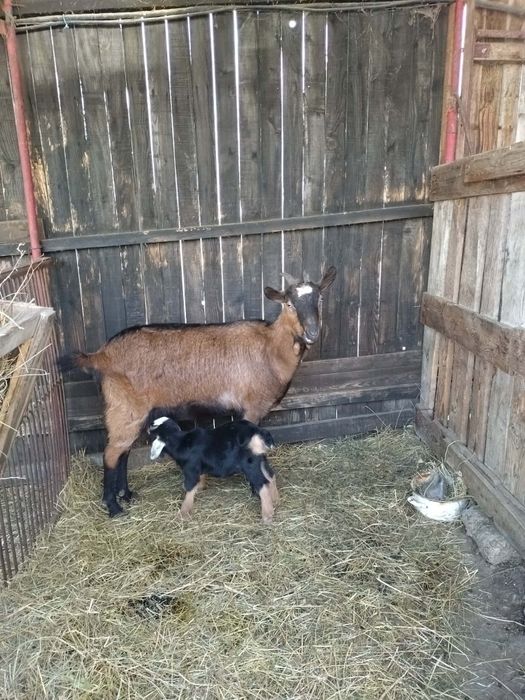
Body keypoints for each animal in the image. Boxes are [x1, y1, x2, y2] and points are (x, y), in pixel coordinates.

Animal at [149, 417, 278, 523]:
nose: (149, 426)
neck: (182, 443)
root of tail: (257, 432)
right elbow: (200, 478)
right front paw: (200, 487)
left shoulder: (191, 468)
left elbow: (189, 487)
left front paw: (183, 514)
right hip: (261, 460)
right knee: (270, 475)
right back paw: (275, 500)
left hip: (250, 463)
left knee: (262, 483)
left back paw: (267, 516)